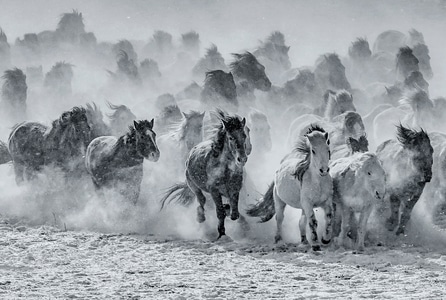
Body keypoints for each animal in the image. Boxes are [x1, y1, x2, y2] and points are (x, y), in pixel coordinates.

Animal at [161, 110, 251, 239]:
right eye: (230, 137)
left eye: (244, 135)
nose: (242, 159)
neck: (225, 169)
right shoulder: (214, 191)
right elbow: (220, 212)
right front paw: (221, 233)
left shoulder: (235, 190)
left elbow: (234, 214)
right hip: (193, 185)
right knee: (201, 200)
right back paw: (200, 217)